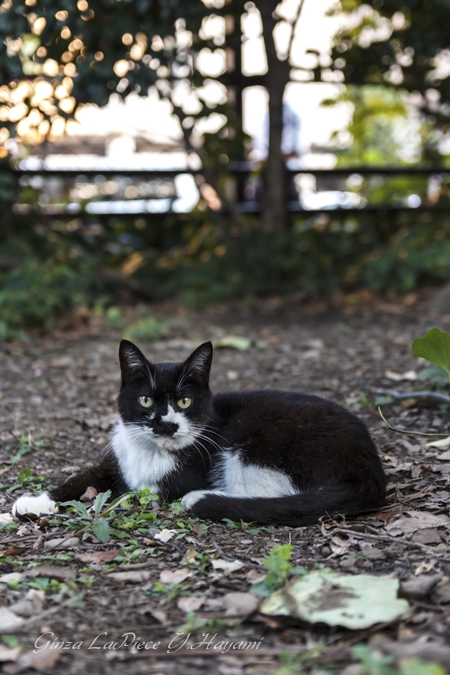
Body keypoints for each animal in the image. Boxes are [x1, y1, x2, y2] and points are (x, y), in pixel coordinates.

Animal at [14, 340, 386, 524]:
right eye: (145, 399)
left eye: (185, 400)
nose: (166, 424)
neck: (151, 451)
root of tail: (370, 470)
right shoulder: (116, 461)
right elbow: (81, 478)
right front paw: (34, 501)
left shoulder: (184, 473)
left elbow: (139, 490)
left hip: (262, 442)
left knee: (273, 495)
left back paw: (205, 499)